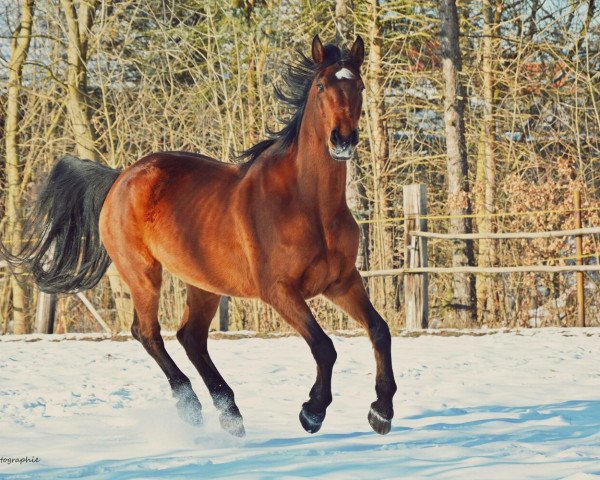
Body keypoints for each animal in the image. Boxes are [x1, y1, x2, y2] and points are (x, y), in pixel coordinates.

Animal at [7, 35, 398, 436]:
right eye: (321, 86)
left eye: (359, 86)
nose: (342, 140)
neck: (309, 205)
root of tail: (120, 178)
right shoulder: (279, 290)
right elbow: (324, 346)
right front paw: (312, 412)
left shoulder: (342, 282)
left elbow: (379, 330)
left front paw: (381, 412)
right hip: (143, 274)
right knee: (147, 332)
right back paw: (191, 406)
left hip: (204, 283)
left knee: (190, 337)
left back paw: (230, 414)